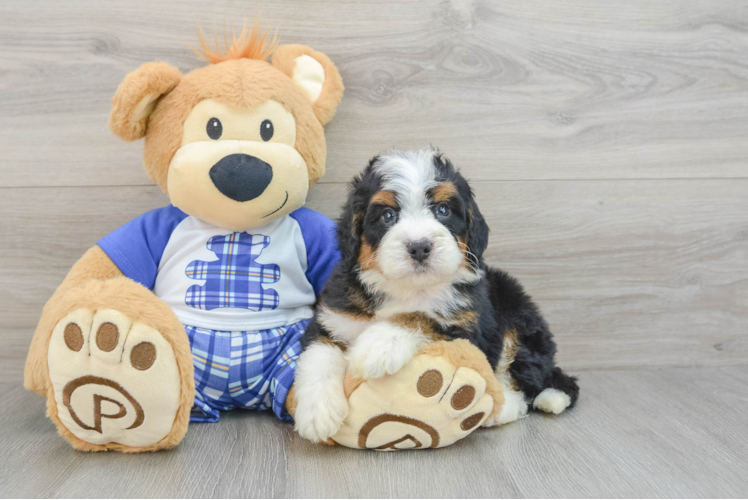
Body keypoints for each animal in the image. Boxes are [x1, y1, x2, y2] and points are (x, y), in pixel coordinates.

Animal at [292, 147, 580, 442]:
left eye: (443, 210)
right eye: (387, 216)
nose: (419, 247)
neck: (406, 288)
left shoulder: (467, 326)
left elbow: (423, 316)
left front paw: (378, 345)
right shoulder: (334, 315)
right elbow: (319, 353)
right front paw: (317, 412)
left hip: (517, 314)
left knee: (524, 381)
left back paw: (506, 407)